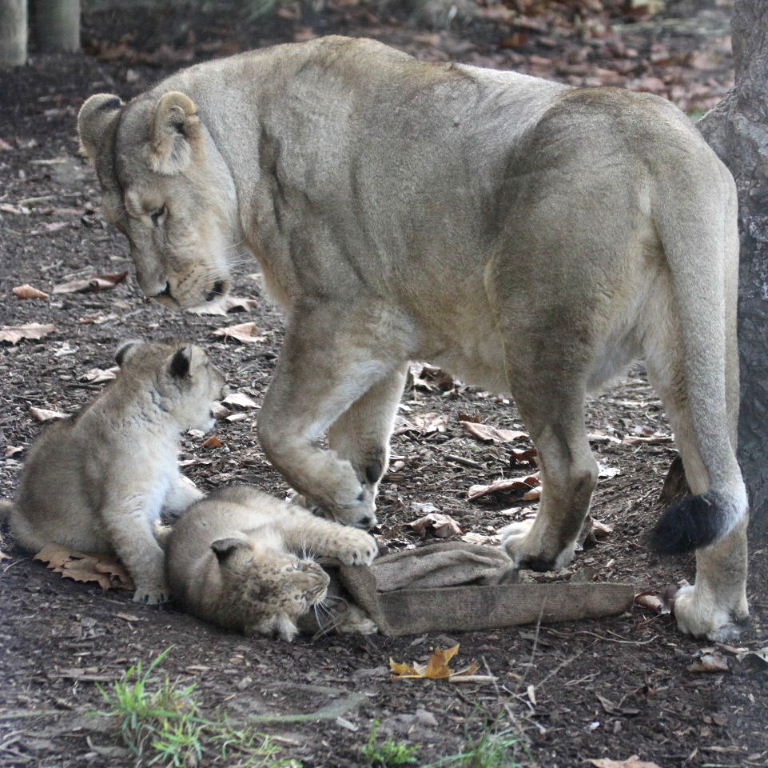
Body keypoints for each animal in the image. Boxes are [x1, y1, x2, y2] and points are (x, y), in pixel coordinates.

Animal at [0, 340, 226, 604]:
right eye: (208, 365)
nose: (226, 380)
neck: (162, 427)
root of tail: (16, 510)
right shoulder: (123, 509)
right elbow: (145, 553)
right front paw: (155, 590)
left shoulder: (167, 480)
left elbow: (190, 498)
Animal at [165, 485, 378, 640]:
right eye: (305, 597)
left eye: (295, 566)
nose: (325, 578)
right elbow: (320, 621)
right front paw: (359, 623)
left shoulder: (280, 527)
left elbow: (321, 534)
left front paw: (361, 544)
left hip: (272, 506)